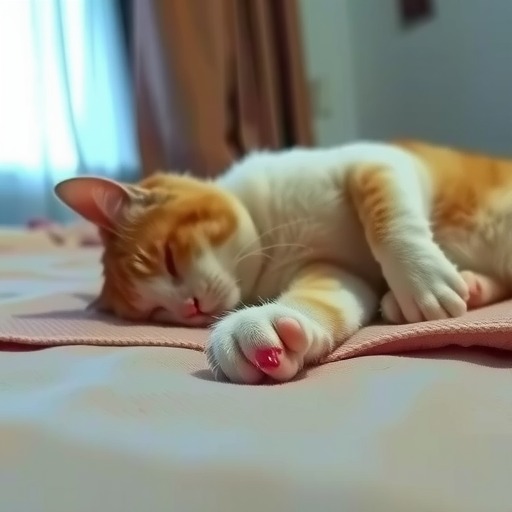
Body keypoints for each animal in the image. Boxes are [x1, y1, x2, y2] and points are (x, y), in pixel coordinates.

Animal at [54, 140, 511, 384]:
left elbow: (387, 218)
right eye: (156, 312)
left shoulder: (377, 159)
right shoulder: (337, 272)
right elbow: (319, 301)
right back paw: (471, 285)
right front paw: (264, 324)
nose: (190, 308)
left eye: (169, 258)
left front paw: (421, 280)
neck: (272, 233)